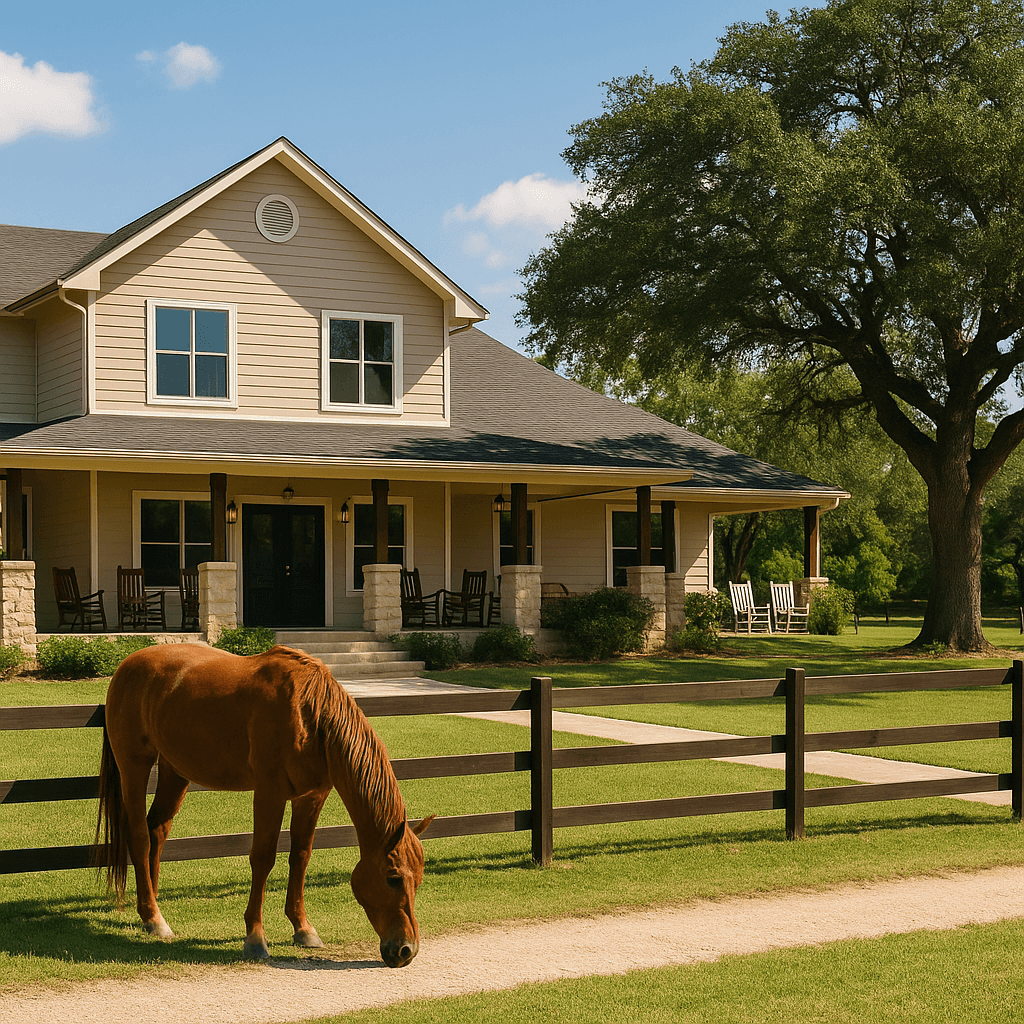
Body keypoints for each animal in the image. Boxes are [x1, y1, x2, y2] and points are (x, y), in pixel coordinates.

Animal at [95, 643, 432, 965]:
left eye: (418, 880)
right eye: (393, 878)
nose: (406, 950)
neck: (310, 714)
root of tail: (127, 664)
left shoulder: (311, 796)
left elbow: (301, 856)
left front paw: (303, 928)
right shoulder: (270, 792)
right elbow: (263, 858)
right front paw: (255, 938)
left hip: (174, 771)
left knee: (157, 831)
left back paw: (150, 908)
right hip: (134, 767)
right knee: (140, 836)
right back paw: (153, 918)